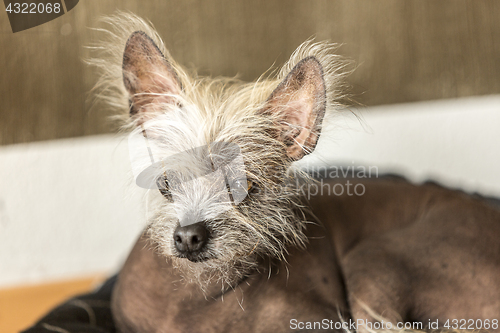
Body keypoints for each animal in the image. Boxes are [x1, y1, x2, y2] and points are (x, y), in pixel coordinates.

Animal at [90, 13, 500, 332]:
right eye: (166, 183)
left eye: (244, 186)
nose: (190, 235)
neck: (195, 294)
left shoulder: (324, 321)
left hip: (373, 257)